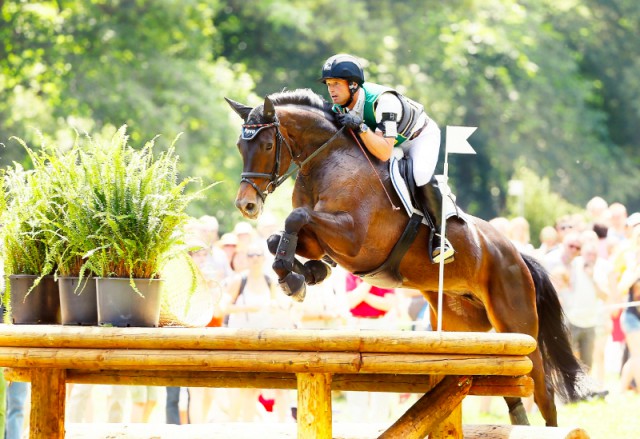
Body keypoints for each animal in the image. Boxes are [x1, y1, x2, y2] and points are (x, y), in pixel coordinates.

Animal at [226, 87, 592, 428]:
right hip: (465, 327)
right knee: (505, 384)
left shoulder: (353, 238)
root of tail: (516, 254)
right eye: (240, 147)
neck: (326, 160)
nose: (246, 205)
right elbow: (279, 238)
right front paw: (302, 274)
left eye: (267, 146)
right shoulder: (320, 240)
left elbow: (296, 218)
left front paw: (296, 279)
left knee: (543, 392)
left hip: (517, 323)